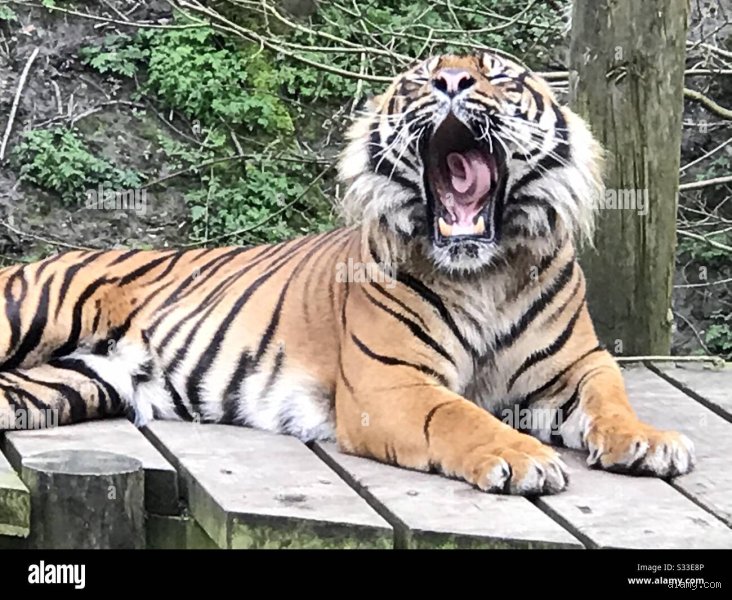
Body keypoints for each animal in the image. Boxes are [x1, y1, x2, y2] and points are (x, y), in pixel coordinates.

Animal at [0, 52, 695, 496]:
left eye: (497, 75)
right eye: (418, 82)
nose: (450, 81)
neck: (485, 274)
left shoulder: (578, 367)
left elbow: (613, 399)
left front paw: (650, 441)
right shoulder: (390, 384)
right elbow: (462, 416)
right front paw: (520, 455)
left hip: (68, 383)